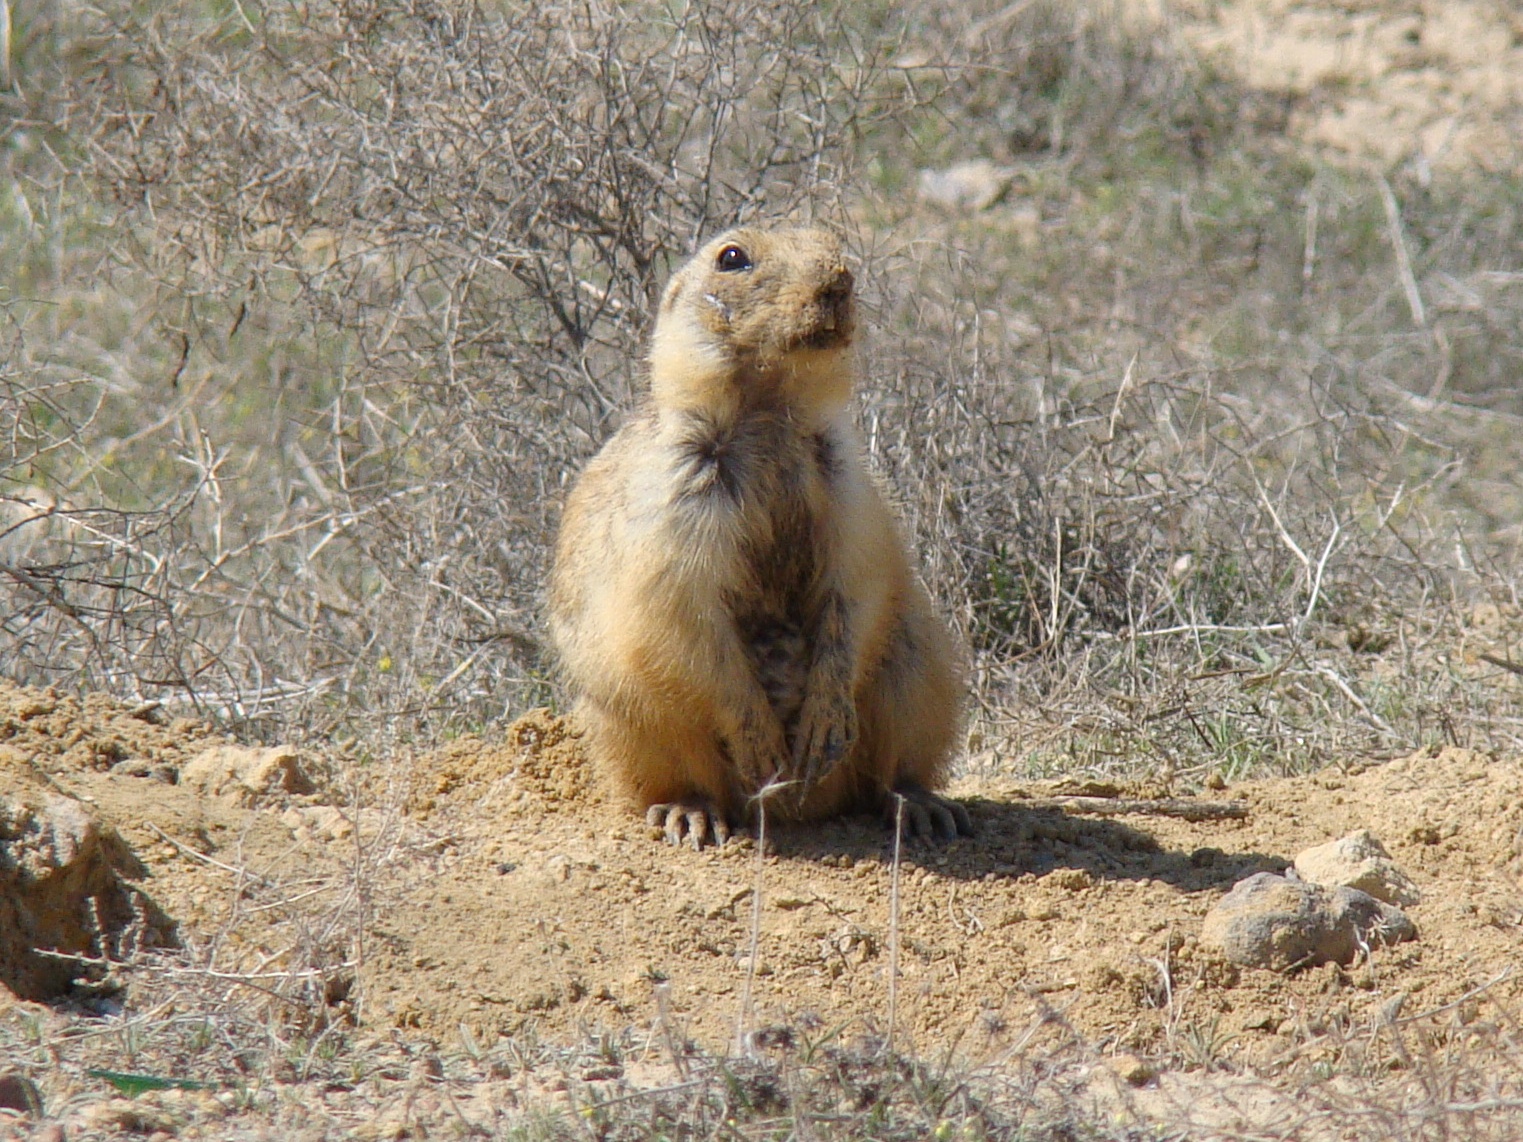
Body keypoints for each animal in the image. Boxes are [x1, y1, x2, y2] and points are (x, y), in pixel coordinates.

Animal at [554, 225, 968, 852]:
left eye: (829, 238)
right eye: (732, 257)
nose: (839, 282)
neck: (768, 407)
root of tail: (802, 808)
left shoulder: (850, 492)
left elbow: (855, 587)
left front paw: (824, 721)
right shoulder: (675, 504)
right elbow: (683, 620)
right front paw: (761, 742)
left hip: (916, 670)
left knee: (887, 774)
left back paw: (920, 807)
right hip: (634, 713)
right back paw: (692, 814)